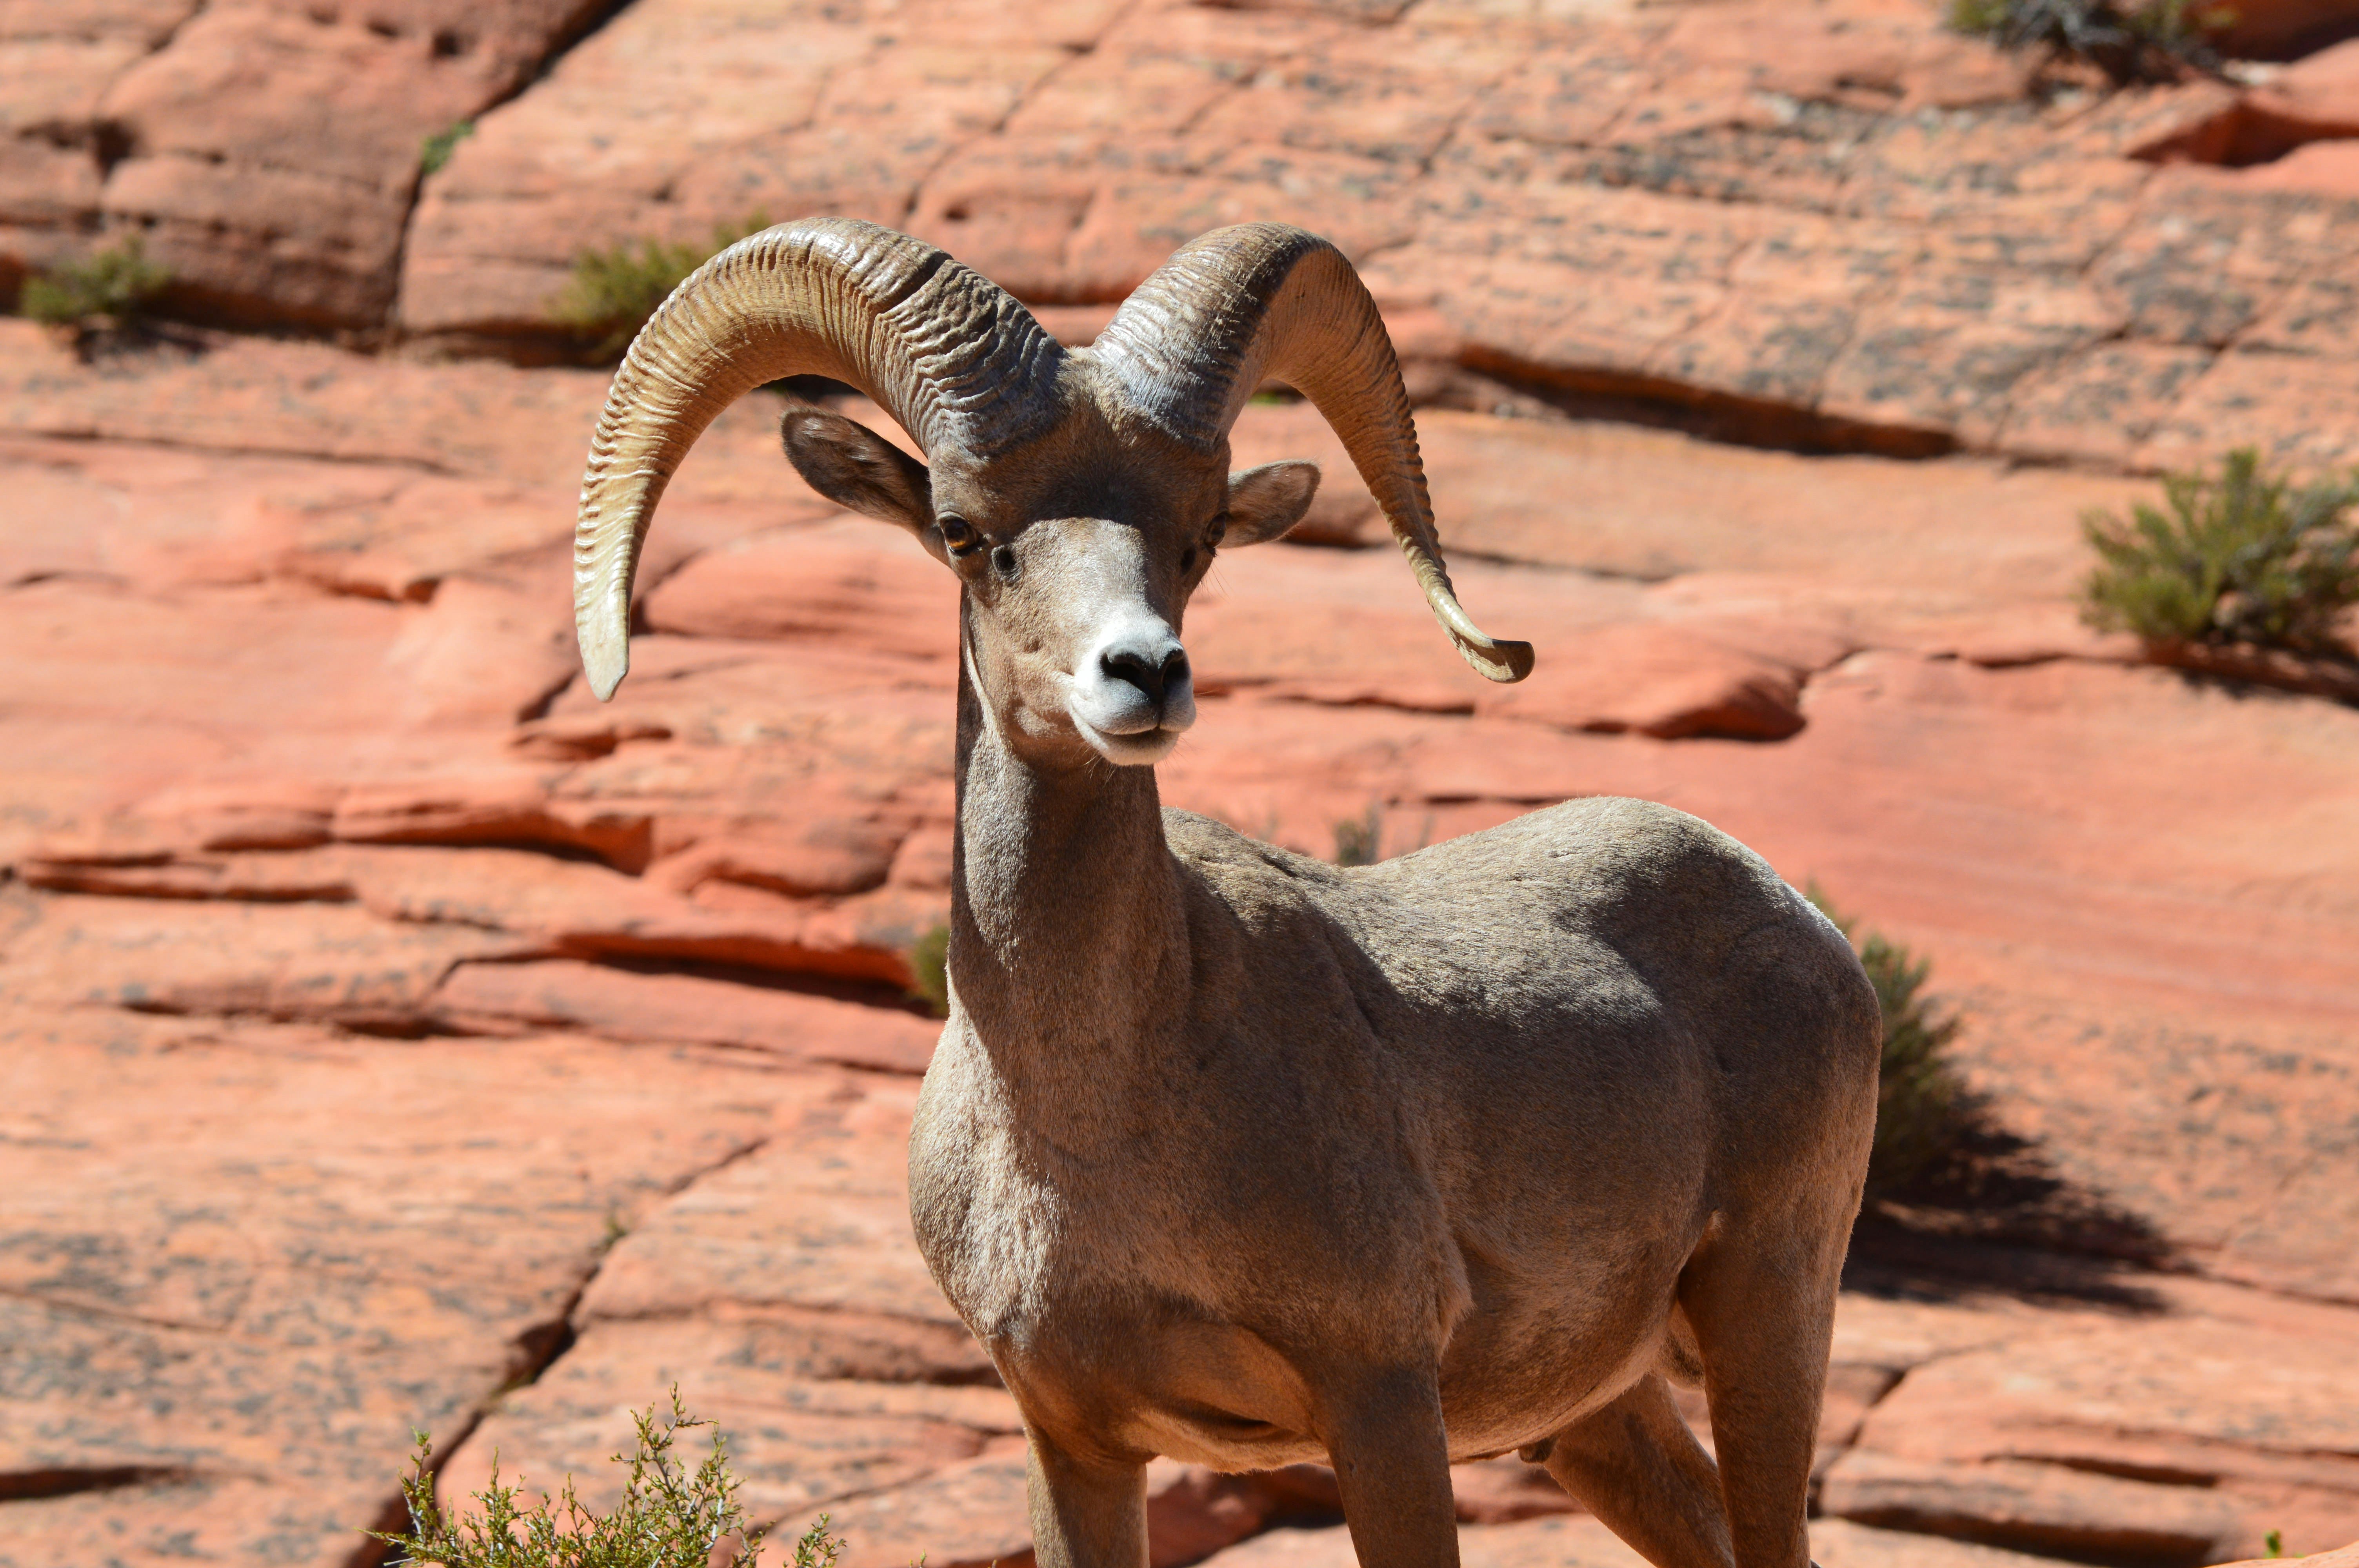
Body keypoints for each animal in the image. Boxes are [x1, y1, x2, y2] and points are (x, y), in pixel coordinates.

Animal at [571, 214, 1877, 1565]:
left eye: (1194, 539)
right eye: (966, 533)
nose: (1144, 673)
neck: (1093, 1118)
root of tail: (1802, 920)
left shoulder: (1381, 1397)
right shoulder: (1073, 1439)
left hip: (1769, 1312)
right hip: (1594, 1417)